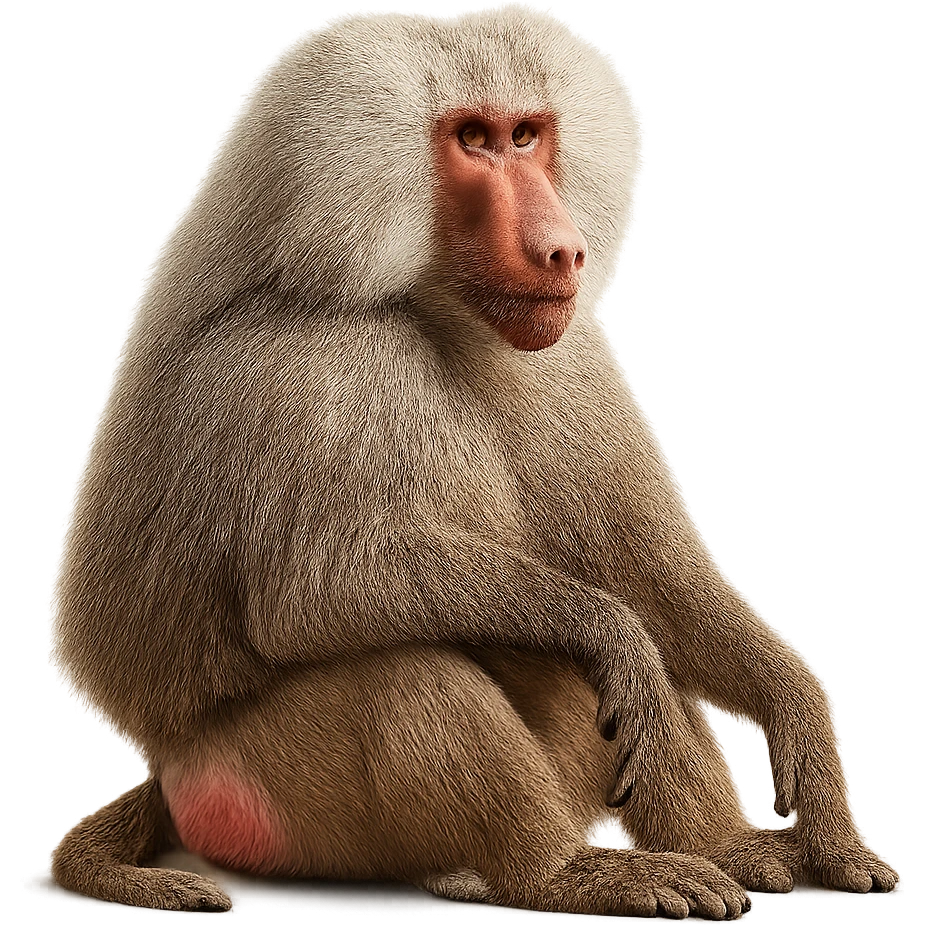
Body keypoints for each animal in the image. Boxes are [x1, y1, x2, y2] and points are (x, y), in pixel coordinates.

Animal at [43, 4, 900, 919]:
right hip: (263, 786)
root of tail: (171, 776)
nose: (562, 251)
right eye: (473, 140)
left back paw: (725, 849)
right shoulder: (316, 364)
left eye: (525, 134)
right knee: (407, 677)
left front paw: (804, 731)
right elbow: (317, 588)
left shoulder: (565, 354)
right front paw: (609, 634)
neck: (430, 302)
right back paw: (569, 872)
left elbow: (647, 575)